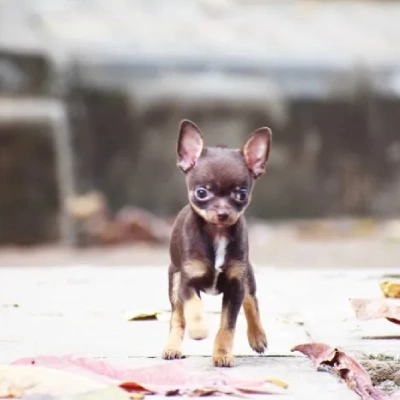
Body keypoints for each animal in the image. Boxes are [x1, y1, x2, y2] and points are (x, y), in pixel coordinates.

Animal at [162, 120, 272, 368]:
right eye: (202, 192)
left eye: (241, 194)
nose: (223, 213)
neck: (217, 234)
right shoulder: (187, 282)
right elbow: (193, 307)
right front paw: (199, 330)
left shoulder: (235, 285)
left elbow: (227, 326)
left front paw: (222, 354)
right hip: (174, 280)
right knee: (177, 317)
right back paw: (172, 347)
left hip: (247, 275)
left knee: (251, 300)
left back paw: (257, 336)